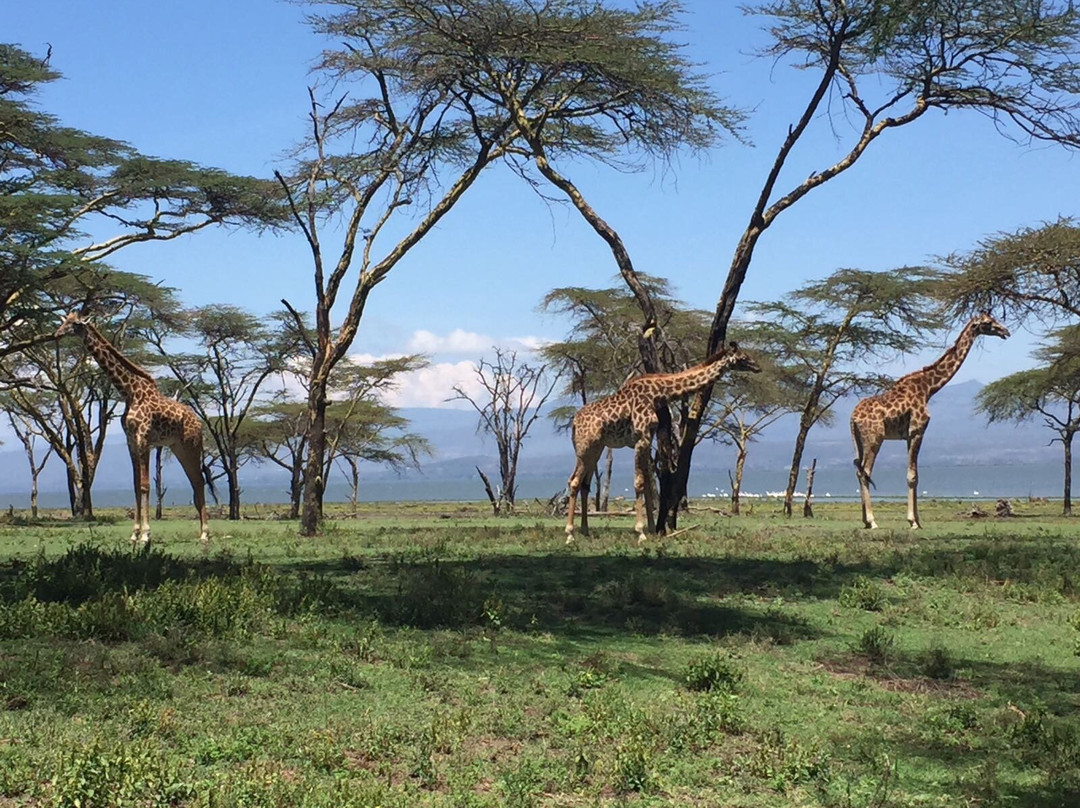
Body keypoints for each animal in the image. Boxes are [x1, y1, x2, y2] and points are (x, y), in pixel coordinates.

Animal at [55, 313, 212, 546]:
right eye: (64, 320)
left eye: (74, 323)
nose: (57, 333)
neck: (129, 391)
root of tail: (199, 422)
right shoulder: (130, 441)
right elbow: (136, 484)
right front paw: (134, 533)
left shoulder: (143, 438)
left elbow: (145, 485)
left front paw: (146, 534)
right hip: (178, 447)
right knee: (196, 481)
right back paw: (202, 533)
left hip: (192, 444)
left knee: (199, 481)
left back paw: (204, 534)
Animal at [565, 341, 760, 542]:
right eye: (743, 357)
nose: (758, 367)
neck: (658, 393)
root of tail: (574, 422)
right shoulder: (641, 437)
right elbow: (639, 482)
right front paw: (641, 532)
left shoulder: (648, 437)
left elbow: (648, 485)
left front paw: (651, 529)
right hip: (585, 447)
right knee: (573, 481)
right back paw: (570, 534)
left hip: (596, 448)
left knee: (584, 484)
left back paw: (585, 531)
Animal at [851, 313, 1010, 529]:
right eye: (988, 322)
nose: (1005, 331)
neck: (929, 387)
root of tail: (852, 417)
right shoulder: (918, 429)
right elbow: (912, 476)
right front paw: (913, 522)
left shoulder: (909, 434)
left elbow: (915, 475)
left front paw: (916, 519)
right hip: (875, 438)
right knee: (865, 471)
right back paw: (873, 521)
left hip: (859, 441)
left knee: (859, 471)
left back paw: (865, 521)